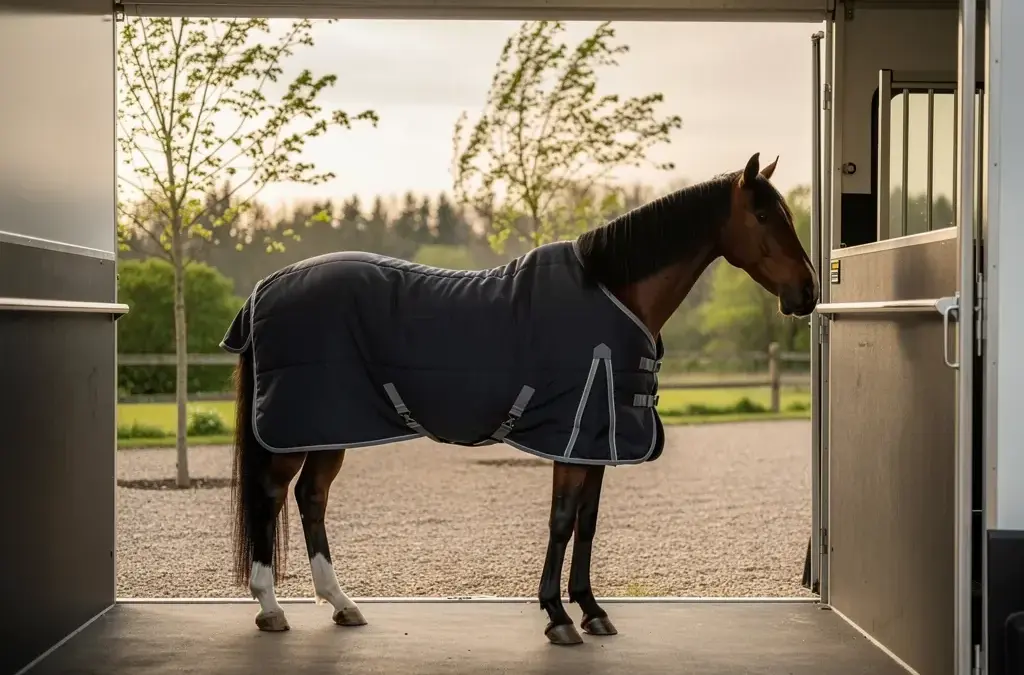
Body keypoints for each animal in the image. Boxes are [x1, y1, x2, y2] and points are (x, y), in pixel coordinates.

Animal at [223, 152, 819, 646]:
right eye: (763, 216)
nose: (807, 293)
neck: (612, 290)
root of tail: (265, 288)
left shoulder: (596, 443)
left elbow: (587, 523)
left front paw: (592, 610)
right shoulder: (571, 439)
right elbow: (561, 521)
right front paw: (557, 616)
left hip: (331, 426)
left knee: (312, 499)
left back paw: (341, 603)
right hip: (295, 431)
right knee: (272, 496)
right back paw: (270, 607)